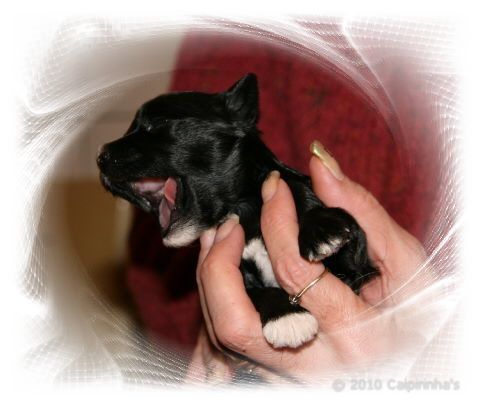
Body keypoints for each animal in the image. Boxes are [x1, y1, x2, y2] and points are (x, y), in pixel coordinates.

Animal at [97, 73, 378, 349]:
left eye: (159, 122)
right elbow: (256, 291)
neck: (243, 213)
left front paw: (320, 228)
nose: (100, 157)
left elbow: (301, 191)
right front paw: (287, 317)